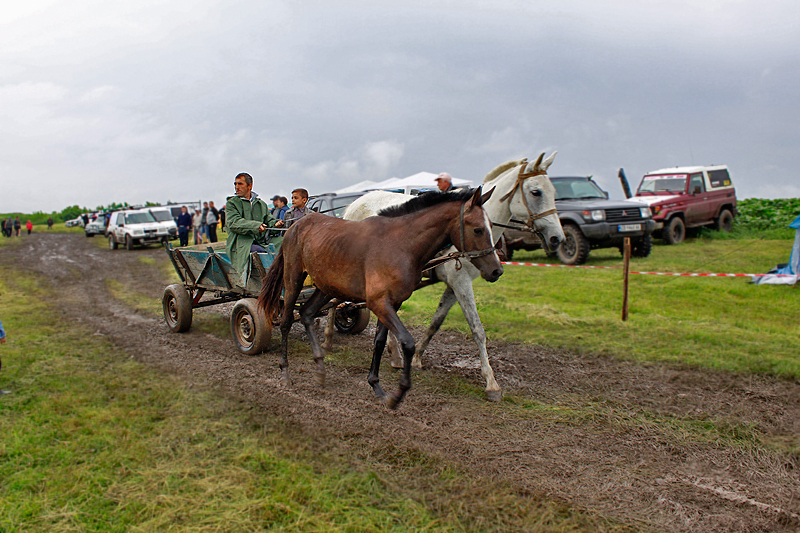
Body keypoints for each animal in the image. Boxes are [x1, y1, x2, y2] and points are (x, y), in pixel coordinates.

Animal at [260, 187, 504, 408]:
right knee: (287, 321)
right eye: (478, 230)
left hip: (326, 286)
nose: (497, 270)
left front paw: (376, 386)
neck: (400, 244)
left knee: (307, 313)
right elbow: (407, 342)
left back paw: (320, 367)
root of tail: (296, 225)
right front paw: (399, 393)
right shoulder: (379, 302)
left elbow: (378, 342)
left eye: (492, 226)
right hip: (293, 278)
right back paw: (285, 372)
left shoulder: (391, 303)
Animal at [330, 153, 564, 400]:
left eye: (553, 191)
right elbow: (477, 330)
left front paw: (417, 358)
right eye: (536, 192)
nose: (557, 238)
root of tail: (353, 205)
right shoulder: (461, 284)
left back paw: (392, 354)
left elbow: (436, 322)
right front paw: (491, 382)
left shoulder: (455, 286)